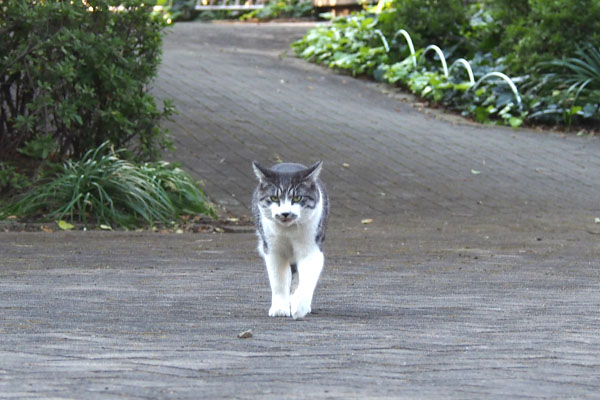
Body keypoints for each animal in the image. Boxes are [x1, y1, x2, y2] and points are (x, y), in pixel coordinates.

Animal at [251, 161, 330, 320]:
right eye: (274, 198)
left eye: (298, 198)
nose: (285, 213)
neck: (288, 232)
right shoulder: (273, 251)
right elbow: (278, 282)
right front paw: (280, 308)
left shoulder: (311, 250)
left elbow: (306, 280)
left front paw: (299, 307)